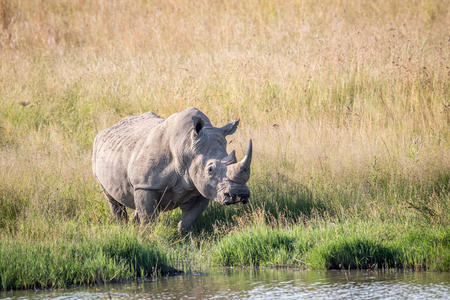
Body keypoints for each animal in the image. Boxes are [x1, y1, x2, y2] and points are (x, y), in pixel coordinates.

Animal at [92, 108, 251, 232]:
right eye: (210, 169)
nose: (240, 195)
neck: (187, 148)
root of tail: (107, 129)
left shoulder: (203, 188)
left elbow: (188, 220)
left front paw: (184, 239)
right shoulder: (146, 186)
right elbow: (148, 219)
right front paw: (148, 238)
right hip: (97, 150)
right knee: (112, 199)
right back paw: (123, 227)